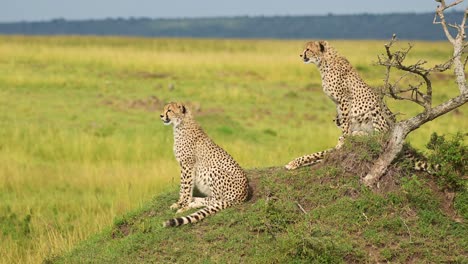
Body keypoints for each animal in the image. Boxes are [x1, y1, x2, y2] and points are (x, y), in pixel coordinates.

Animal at [286, 40, 394, 170]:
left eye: (308, 49)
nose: (301, 55)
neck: (324, 63)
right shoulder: (337, 102)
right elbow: (318, 155)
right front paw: (295, 163)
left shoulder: (343, 99)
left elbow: (345, 123)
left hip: (374, 109)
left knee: (377, 135)